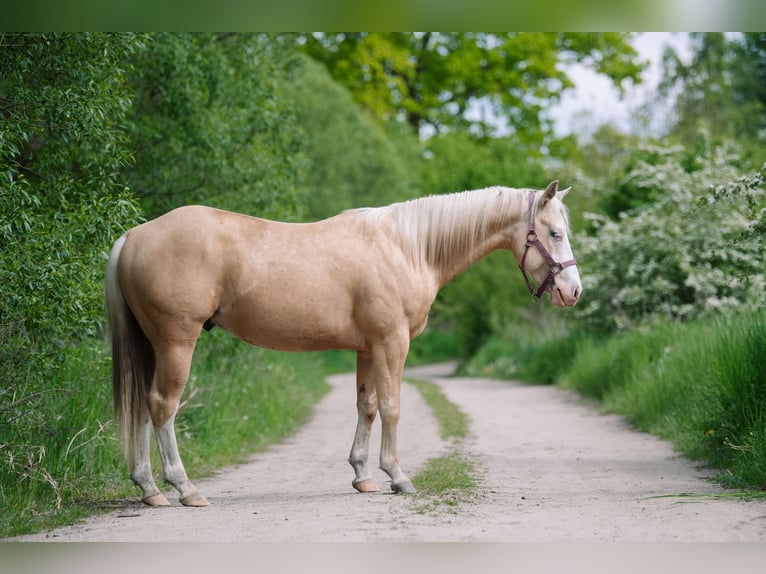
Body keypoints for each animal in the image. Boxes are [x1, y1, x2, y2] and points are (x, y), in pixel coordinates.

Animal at [105, 180, 581, 507]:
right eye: (555, 233)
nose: (573, 291)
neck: (407, 248)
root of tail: (134, 235)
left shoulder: (367, 348)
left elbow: (366, 406)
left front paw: (363, 476)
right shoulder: (391, 343)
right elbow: (391, 406)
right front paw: (397, 476)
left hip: (153, 345)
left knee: (143, 406)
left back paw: (149, 488)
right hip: (176, 342)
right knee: (163, 406)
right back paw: (184, 489)